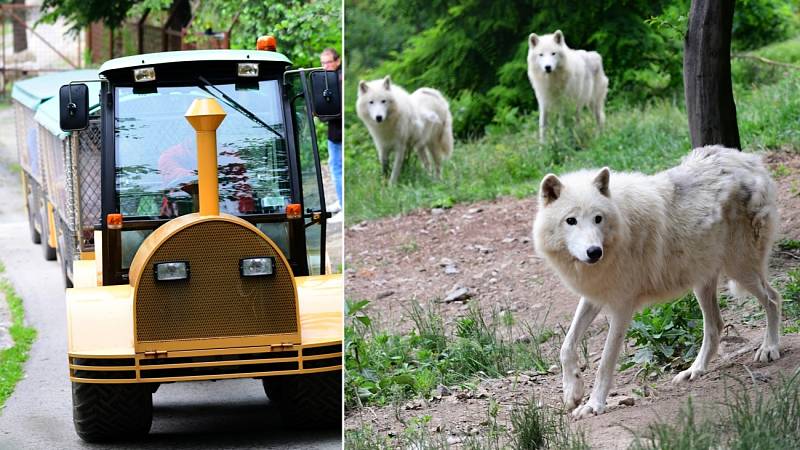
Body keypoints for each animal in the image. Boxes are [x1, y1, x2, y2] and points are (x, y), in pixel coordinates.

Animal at [532, 147, 780, 418]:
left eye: (598, 218)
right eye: (571, 220)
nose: (594, 252)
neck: (620, 229)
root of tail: (747, 159)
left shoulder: (622, 307)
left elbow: (605, 363)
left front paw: (593, 405)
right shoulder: (595, 295)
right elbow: (566, 346)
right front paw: (572, 392)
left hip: (740, 270)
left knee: (773, 299)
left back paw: (769, 348)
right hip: (701, 280)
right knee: (716, 326)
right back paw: (694, 371)